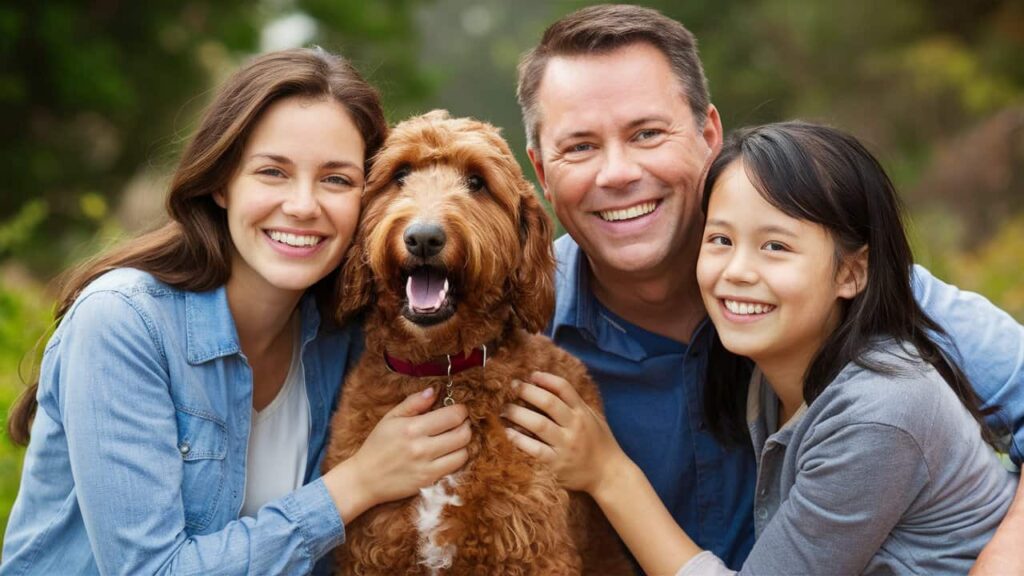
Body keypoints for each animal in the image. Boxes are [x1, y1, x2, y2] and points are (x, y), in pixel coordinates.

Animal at [325, 108, 630, 573]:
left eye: (477, 182)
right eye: (399, 175)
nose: (424, 237)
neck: (444, 372)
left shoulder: (528, 549)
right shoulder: (374, 553)